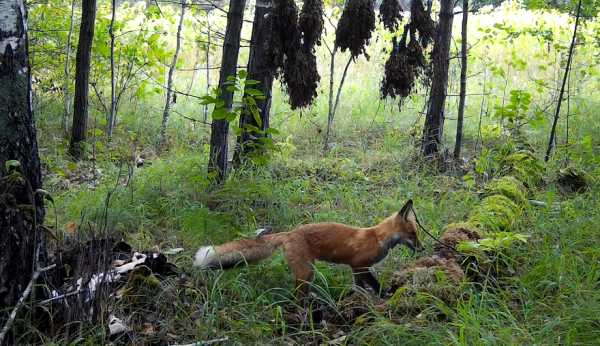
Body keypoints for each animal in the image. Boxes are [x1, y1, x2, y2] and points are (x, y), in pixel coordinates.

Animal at [195, 200, 420, 298]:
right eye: (413, 234)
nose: (422, 248)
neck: (378, 238)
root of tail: (289, 232)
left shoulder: (358, 269)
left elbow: (360, 286)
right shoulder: (359, 265)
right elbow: (373, 284)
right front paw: (383, 295)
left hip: (307, 272)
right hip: (306, 272)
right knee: (296, 294)